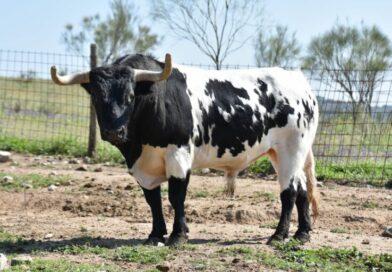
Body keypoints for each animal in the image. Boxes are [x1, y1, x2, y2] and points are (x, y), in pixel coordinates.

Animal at [50, 53, 318, 246]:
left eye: (130, 96)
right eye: (96, 97)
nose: (113, 132)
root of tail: (299, 81)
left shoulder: (178, 155)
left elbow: (175, 196)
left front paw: (178, 235)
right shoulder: (143, 166)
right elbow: (152, 199)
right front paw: (155, 234)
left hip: (291, 150)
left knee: (289, 192)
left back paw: (279, 235)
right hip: (282, 154)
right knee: (302, 189)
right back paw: (302, 233)